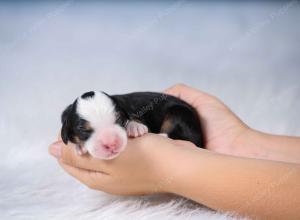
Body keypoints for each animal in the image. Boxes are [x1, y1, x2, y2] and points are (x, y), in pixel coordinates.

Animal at [61, 91, 204, 160]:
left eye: (119, 120)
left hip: (179, 114)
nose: (111, 143)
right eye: (83, 130)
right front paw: (80, 146)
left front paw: (135, 127)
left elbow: (134, 118)